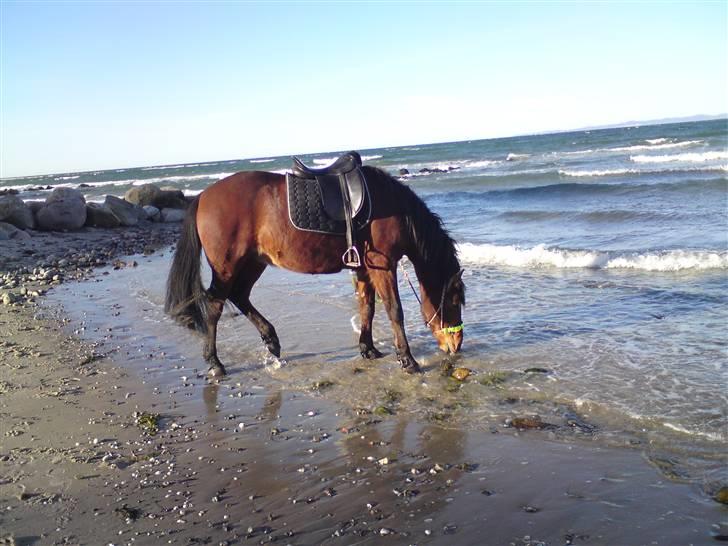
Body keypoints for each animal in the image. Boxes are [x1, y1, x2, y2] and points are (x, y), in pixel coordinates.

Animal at [164, 159, 464, 376]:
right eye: (454, 301)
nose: (456, 346)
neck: (391, 203)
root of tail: (203, 196)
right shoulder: (382, 266)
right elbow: (394, 311)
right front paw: (407, 359)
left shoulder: (363, 268)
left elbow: (367, 307)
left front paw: (368, 349)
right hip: (227, 265)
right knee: (215, 305)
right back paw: (215, 362)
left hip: (254, 261)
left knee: (240, 295)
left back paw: (271, 340)